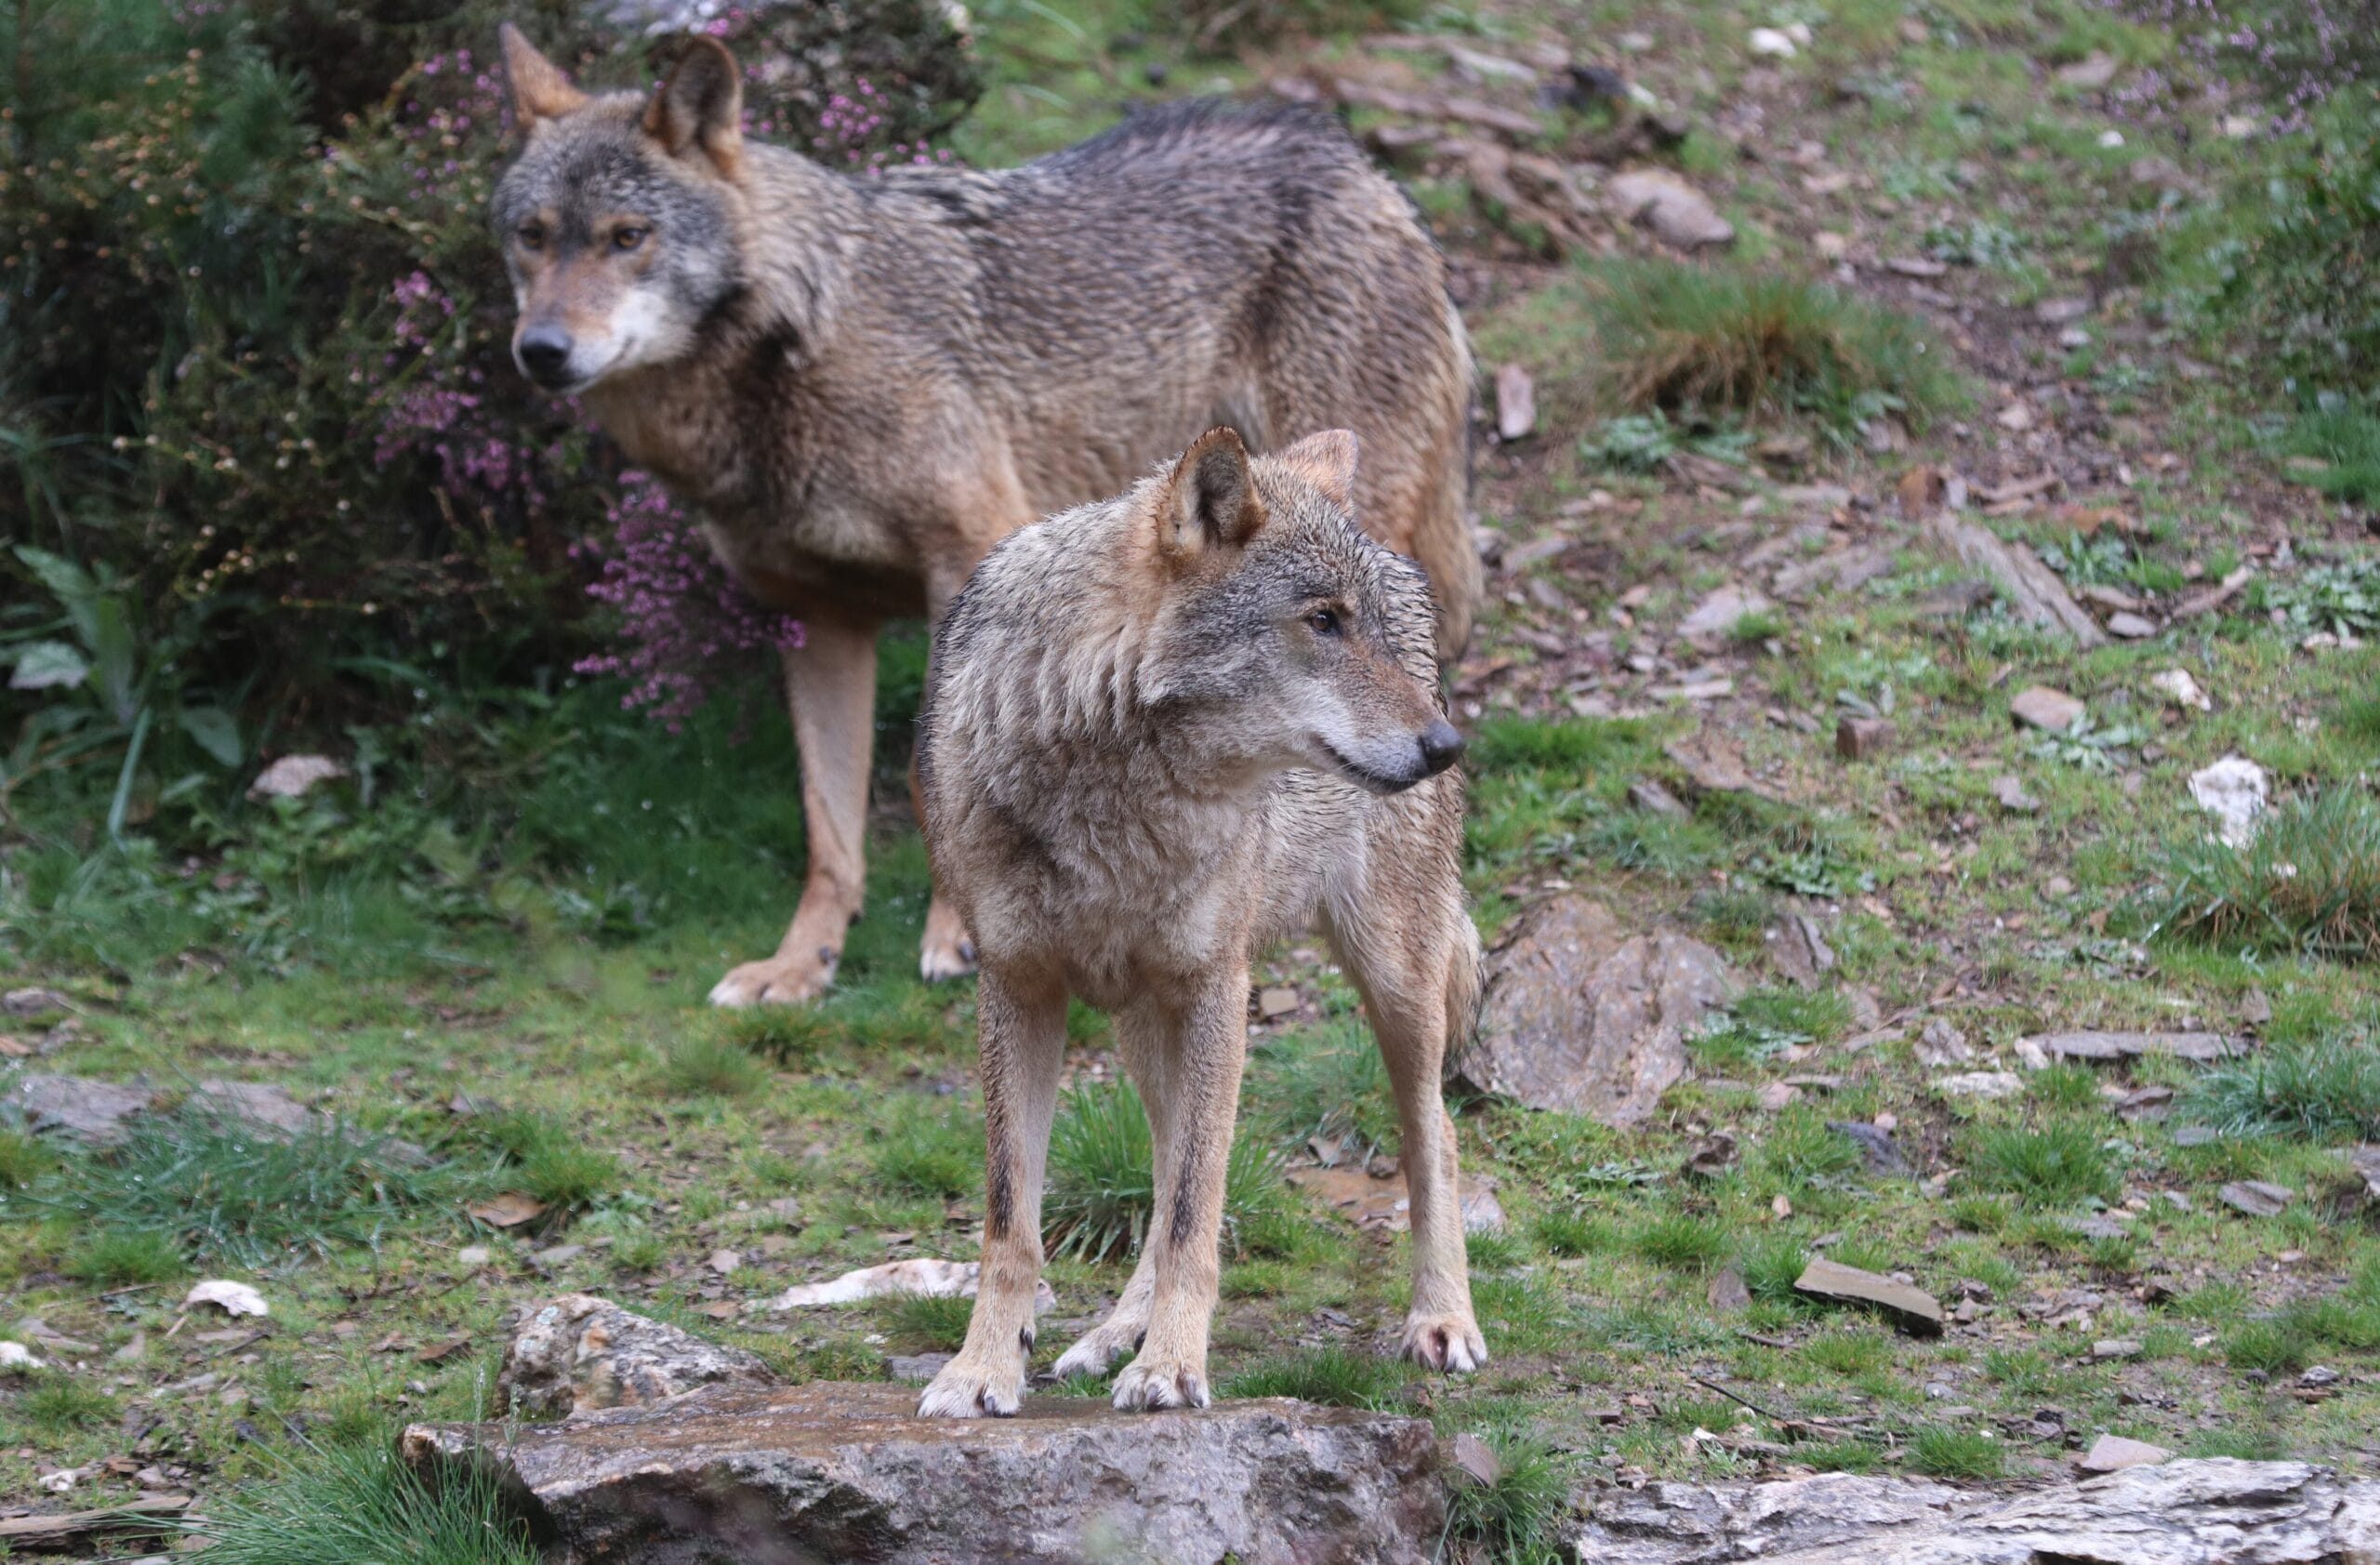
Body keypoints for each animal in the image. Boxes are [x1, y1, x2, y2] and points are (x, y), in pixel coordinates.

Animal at [492, 26, 1482, 1008]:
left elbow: (927, 773)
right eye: (531, 238)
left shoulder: (962, 556)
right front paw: (802, 962)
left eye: (628, 237)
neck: (797, 344)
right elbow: (828, 825)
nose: (540, 351)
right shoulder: (818, 619)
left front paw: (958, 933)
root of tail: (1357, 162)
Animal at [912, 427, 1485, 1417]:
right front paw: (982, 1369)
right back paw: (1112, 1334)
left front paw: (1173, 1366)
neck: (1113, 795)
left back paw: (1442, 1317)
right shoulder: (1017, 986)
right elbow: (1012, 1217)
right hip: (1147, 1020)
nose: (1448, 745)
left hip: (1393, 981)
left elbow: (1193, 1210)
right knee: (1165, 1154)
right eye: (1324, 621)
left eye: (1360, 623)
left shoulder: (1219, 984)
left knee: (1433, 1133)